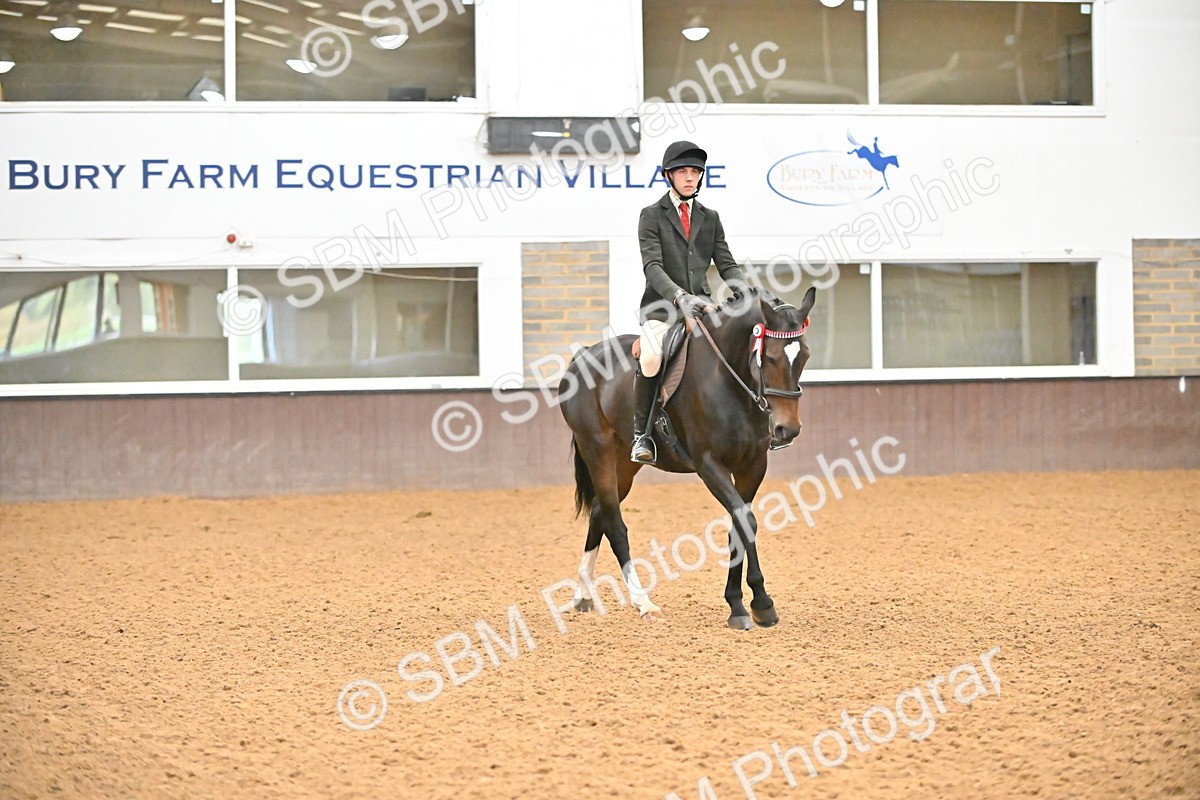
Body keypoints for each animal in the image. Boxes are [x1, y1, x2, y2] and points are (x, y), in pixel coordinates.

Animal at [558, 286, 817, 629]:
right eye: (771, 357)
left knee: (600, 511)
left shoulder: (752, 466)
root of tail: (584, 355)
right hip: (597, 452)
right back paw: (643, 602)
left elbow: (739, 524)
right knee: (614, 524)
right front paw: (759, 603)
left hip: (623, 464)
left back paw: (583, 594)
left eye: (805, 356)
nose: (788, 429)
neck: (729, 378)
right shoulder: (709, 465)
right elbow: (744, 520)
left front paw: (742, 604)